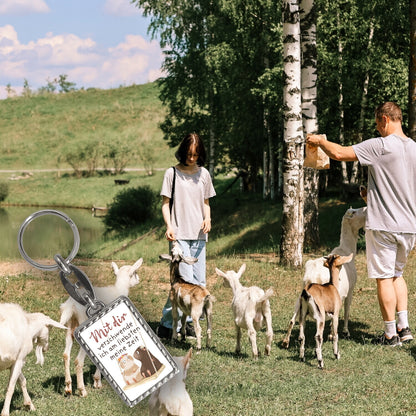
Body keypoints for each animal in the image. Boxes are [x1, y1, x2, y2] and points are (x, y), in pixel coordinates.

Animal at [58, 256, 143, 396]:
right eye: (135, 272)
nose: (139, 279)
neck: (118, 290)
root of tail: (72, 306)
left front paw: (96, 381)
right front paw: (97, 381)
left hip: (71, 325)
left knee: (66, 355)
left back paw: (68, 387)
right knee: (78, 360)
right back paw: (82, 390)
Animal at [282, 204, 366, 348]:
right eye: (354, 211)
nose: (366, 208)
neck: (346, 250)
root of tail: (312, 275)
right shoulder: (349, 291)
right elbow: (347, 311)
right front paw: (343, 332)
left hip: (300, 297)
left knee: (293, 319)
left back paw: (286, 341)